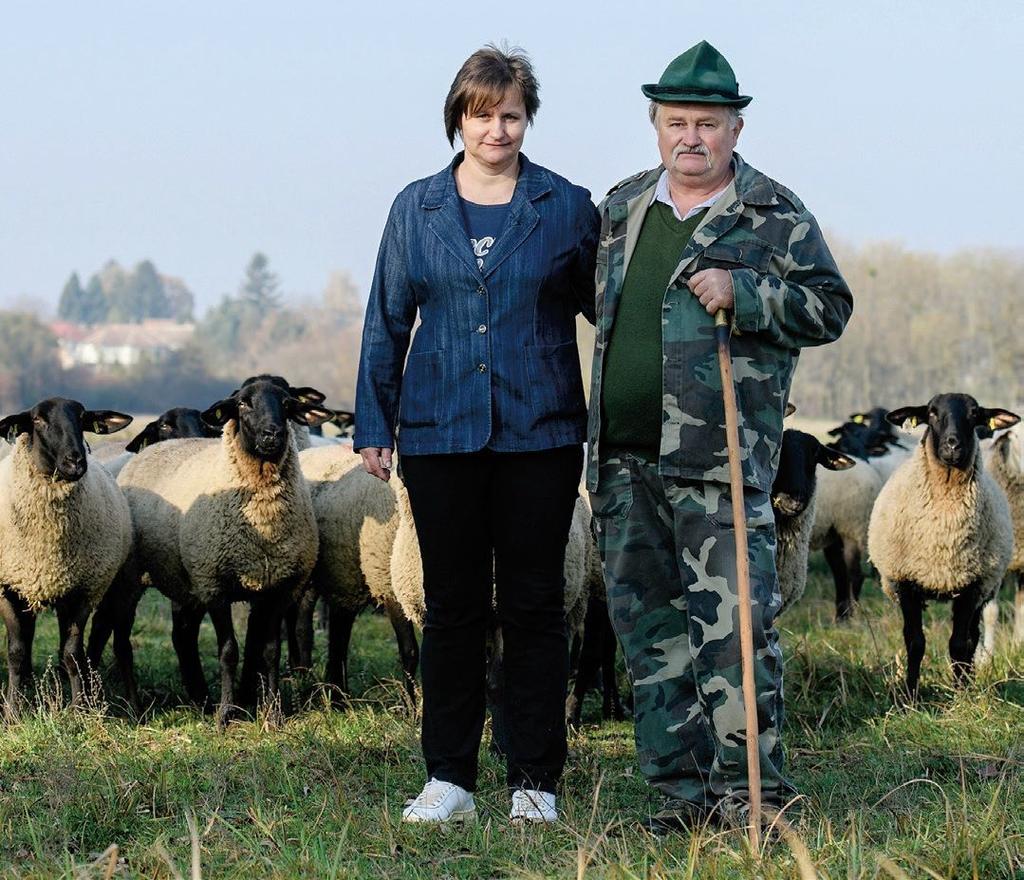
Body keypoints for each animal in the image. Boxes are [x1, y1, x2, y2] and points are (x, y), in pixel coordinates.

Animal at [113, 374, 327, 725]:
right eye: (242, 403)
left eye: (286, 403)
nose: (273, 434)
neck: (263, 521)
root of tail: (152, 448)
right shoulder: (215, 584)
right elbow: (228, 651)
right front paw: (227, 713)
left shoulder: (276, 588)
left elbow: (269, 651)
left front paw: (272, 712)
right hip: (131, 576)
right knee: (122, 640)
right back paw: (134, 707)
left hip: (185, 582)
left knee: (183, 635)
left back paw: (200, 698)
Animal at [868, 395, 1019, 696]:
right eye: (932, 413)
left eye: (974, 414)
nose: (953, 445)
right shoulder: (905, 582)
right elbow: (915, 642)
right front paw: (910, 695)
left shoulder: (971, 585)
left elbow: (960, 645)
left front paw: (960, 695)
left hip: (985, 586)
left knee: (972, 637)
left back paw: (969, 681)